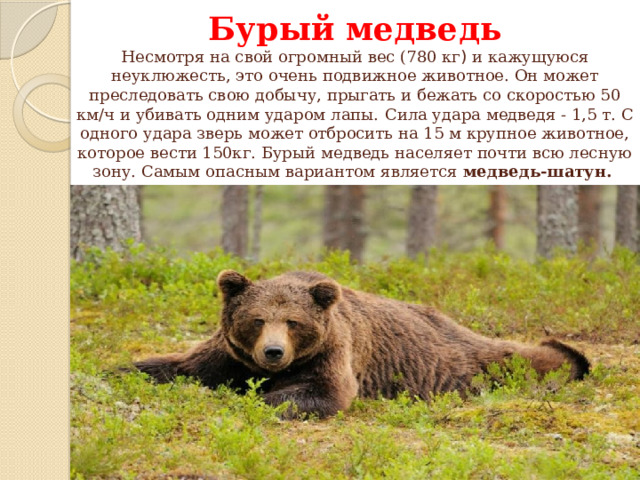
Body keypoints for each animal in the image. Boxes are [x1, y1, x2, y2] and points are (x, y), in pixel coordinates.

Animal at [133, 270, 590, 418]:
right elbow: (178, 365)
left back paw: (571, 358)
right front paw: (127, 370)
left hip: (454, 360)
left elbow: (324, 391)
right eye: (257, 319)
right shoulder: (229, 355)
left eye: (293, 322)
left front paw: (261, 398)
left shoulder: (334, 353)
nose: (273, 352)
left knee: (513, 358)